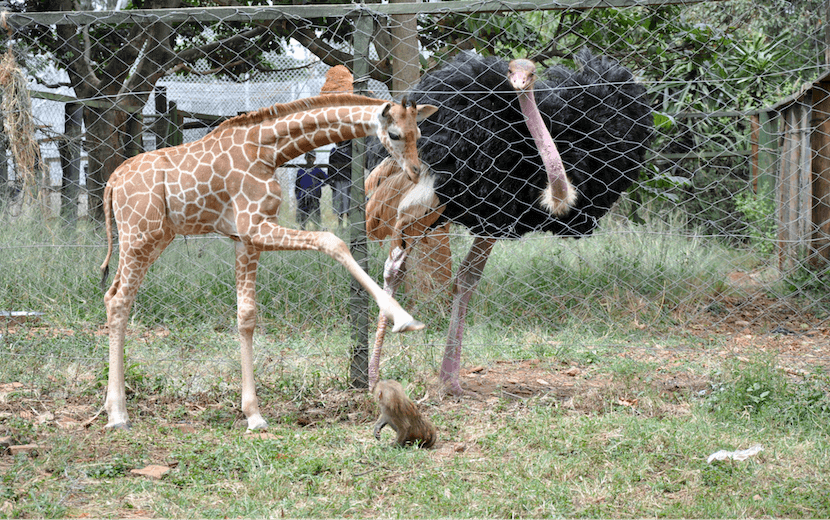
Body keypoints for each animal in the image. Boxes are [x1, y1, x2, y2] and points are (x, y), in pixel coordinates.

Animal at [100, 93, 438, 430]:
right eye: (394, 134)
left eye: (419, 133)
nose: (414, 171)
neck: (267, 150)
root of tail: (112, 181)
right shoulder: (255, 227)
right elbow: (333, 241)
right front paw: (402, 318)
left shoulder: (247, 239)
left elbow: (246, 316)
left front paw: (253, 414)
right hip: (139, 237)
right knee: (118, 300)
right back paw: (117, 415)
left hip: (153, 238)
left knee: (111, 295)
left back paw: (111, 408)